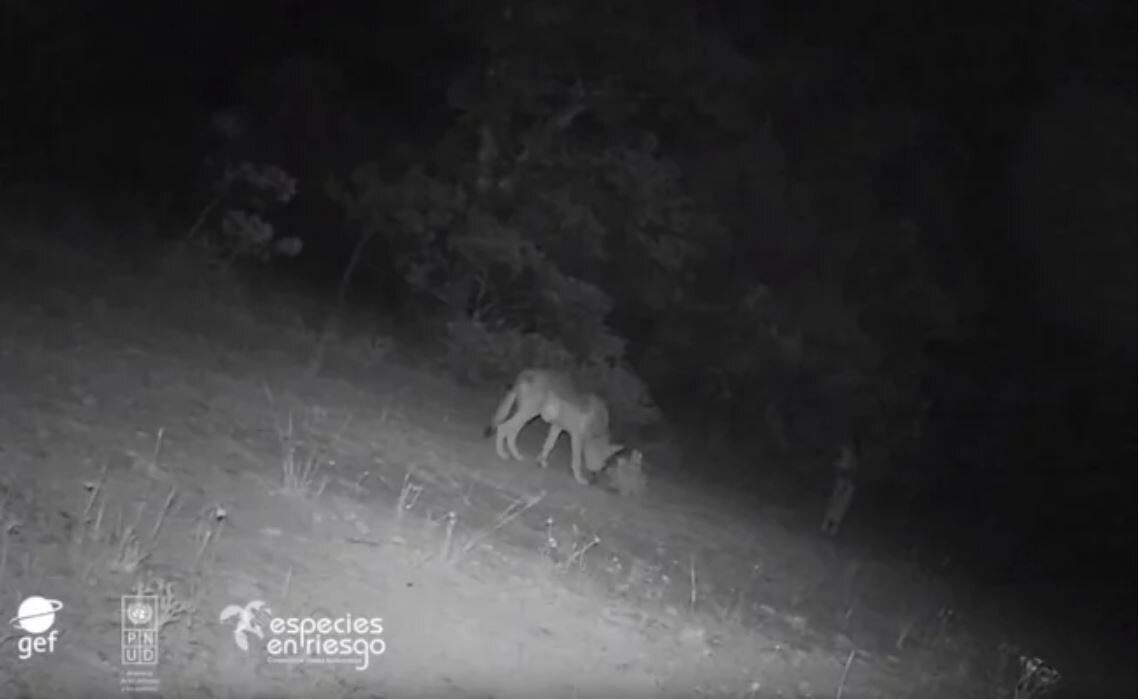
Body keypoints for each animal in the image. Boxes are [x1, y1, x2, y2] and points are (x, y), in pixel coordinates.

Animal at [484, 369, 628, 485]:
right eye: (603, 466)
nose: (594, 481)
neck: (596, 428)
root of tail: (527, 372)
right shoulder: (576, 437)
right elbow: (576, 460)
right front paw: (579, 479)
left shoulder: (557, 427)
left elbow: (548, 445)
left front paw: (541, 461)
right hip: (527, 414)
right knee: (502, 428)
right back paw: (502, 454)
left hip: (525, 416)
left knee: (511, 434)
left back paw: (517, 456)